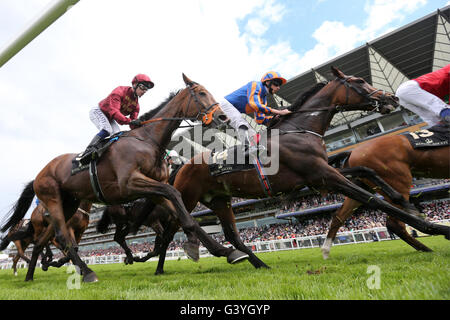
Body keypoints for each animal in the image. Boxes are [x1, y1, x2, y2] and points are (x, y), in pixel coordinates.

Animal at [0, 74, 246, 282]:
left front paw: (226, 251)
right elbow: (175, 194)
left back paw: (31, 274)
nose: (223, 117)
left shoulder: (155, 190)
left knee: (43, 241)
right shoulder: (130, 184)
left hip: (67, 204)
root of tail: (38, 175)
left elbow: (183, 212)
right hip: (52, 199)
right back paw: (87, 272)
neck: (147, 140)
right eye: (202, 93)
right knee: (62, 237)